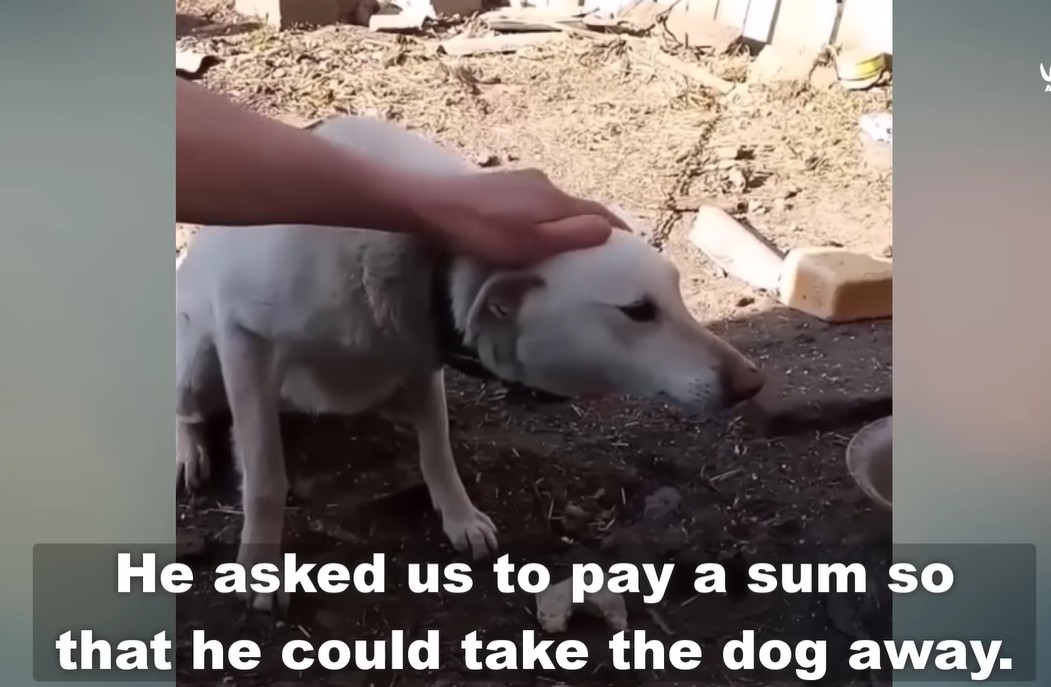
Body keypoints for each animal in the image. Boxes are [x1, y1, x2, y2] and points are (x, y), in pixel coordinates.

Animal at [175, 116, 765, 612]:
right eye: (639, 311)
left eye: (680, 293)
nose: (753, 383)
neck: (425, 255)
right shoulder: (245, 337)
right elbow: (265, 477)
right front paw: (260, 566)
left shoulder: (420, 359)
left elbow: (436, 448)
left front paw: (459, 517)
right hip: (197, 364)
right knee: (192, 413)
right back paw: (192, 451)